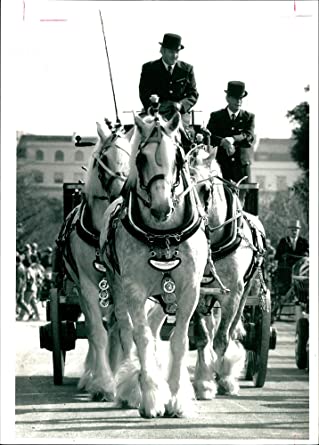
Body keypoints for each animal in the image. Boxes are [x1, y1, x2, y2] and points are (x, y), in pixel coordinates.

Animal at [54, 120, 132, 398]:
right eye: (105, 157)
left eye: (132, 156)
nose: (122, 191)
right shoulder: (86, 285)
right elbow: (96, 332)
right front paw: (101, 383)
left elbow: (121, 327)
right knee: (96, 327)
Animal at [101, 111, 209, 416]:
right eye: (141, 159)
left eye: (179, 157)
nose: (162, 207)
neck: (163, 236)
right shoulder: (134, 290)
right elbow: (142, 338)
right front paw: (150, 395)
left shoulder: (189, 291)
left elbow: (179, 340)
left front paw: (175, 396)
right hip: (118, 287)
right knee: (127, 331)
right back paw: (130, 385)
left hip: (163, 298)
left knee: (155, 325)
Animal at [189, 143, 268, 398]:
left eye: (205, 189)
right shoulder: (196, 291)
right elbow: (203, 338)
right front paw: (204, 383)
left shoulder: (233, 293)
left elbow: (222, 339)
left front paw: (223, 379)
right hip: (210, 296)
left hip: (245, 292)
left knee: (231, 330)